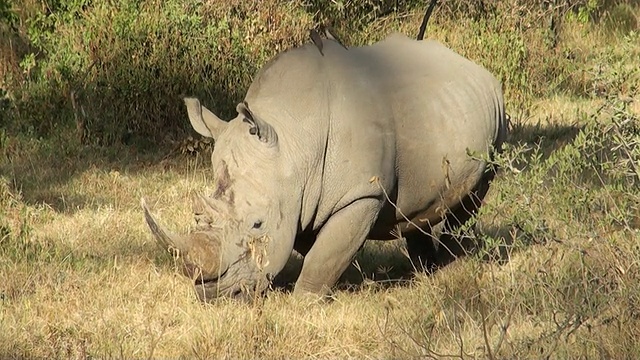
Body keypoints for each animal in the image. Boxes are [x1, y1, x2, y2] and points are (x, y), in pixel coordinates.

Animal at [142, 30, 508, 300]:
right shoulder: (302, 199)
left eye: (257, 224)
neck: (293, 140)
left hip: (497, 113)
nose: (212, 293)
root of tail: (475, 67)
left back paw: (450, 265)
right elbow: (317, 247)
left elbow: (324, 254)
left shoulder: (361, 194)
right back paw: (424, 272)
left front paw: (304, 302)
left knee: (475, 194)